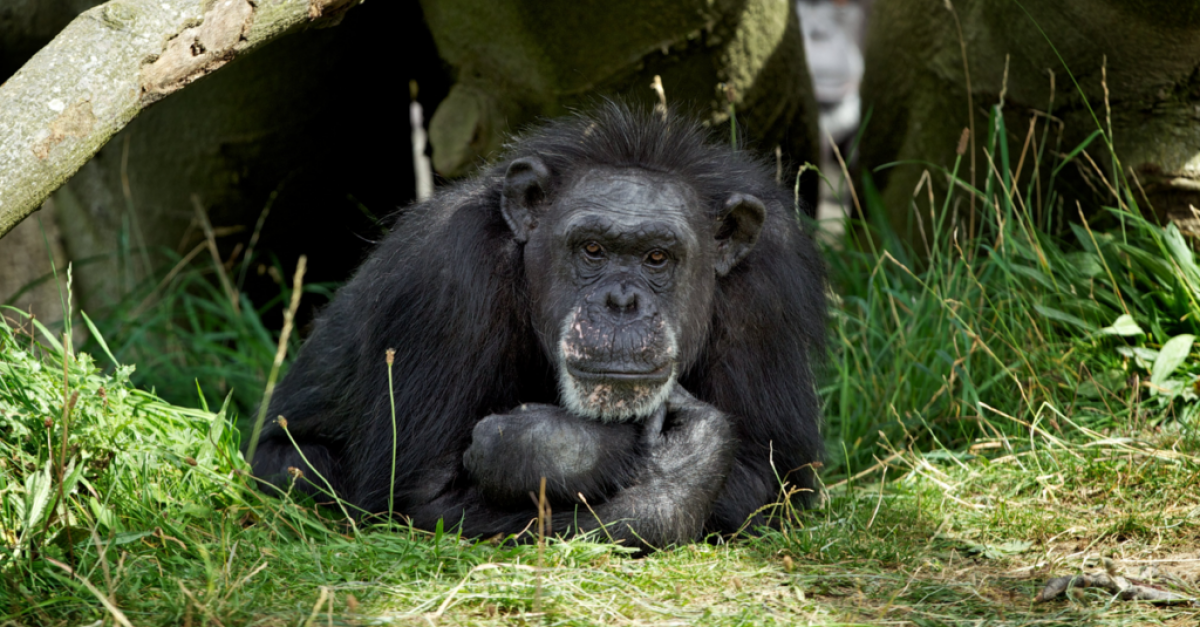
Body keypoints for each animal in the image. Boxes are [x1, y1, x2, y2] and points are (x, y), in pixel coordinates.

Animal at [252, 102, 825, 547]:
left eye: (657, 257)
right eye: (592, 249)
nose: (621, 301)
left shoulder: (767, 293)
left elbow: (765, 478)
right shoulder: (447, 279)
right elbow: (420, 500)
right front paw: (631, 457)